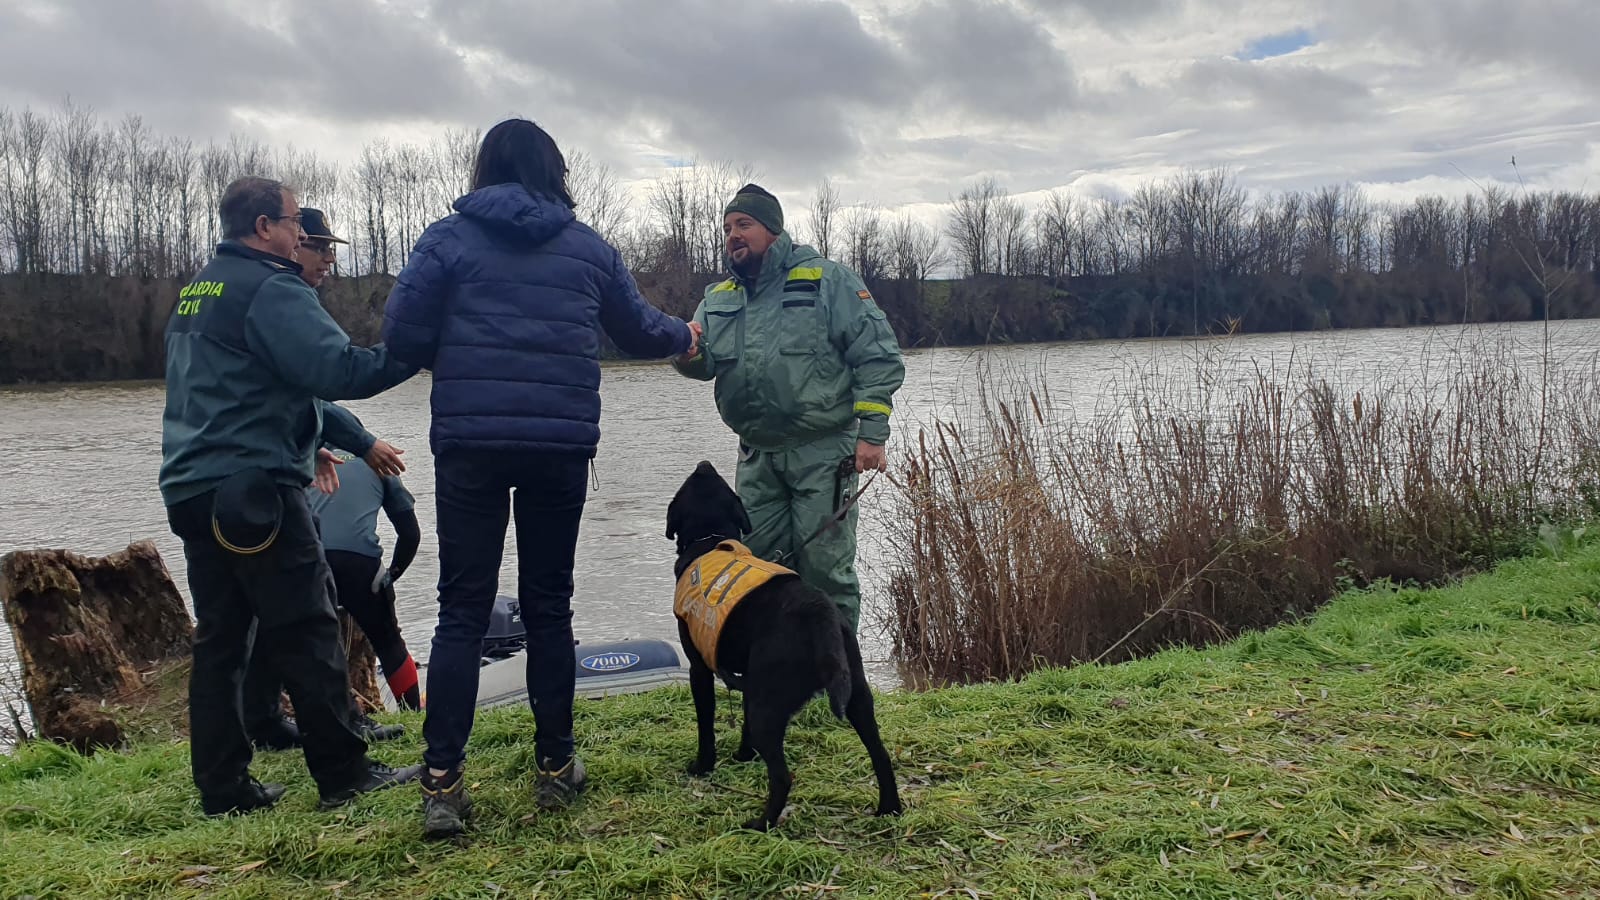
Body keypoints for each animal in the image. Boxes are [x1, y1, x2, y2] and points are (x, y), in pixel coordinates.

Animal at [662, 458, 902, 832]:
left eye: (691, 481)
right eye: (708, 479)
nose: (703, 463)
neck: (711, 540)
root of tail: (819, 614)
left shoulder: (700, 670)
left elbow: (705, 726)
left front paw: (703, 766)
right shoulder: (747, 678)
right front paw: (744, 755)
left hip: (768, 707)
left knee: (782, 777)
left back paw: (759, 824)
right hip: (857, 696)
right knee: (881, 754)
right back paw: (889, 809)